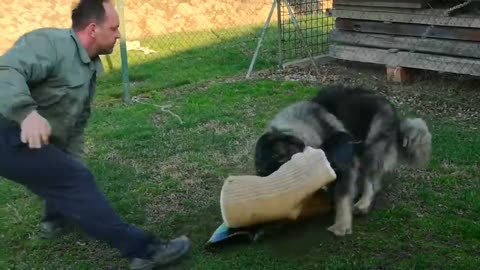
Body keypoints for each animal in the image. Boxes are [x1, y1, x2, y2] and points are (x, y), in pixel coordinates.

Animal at [255, 85, 432, 236]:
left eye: (280, 160)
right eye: (263, 172)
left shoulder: (346, 166)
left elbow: (343, 195)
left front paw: (341, 225)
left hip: (370, 149)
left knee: (370, 182)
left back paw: (363, 204)